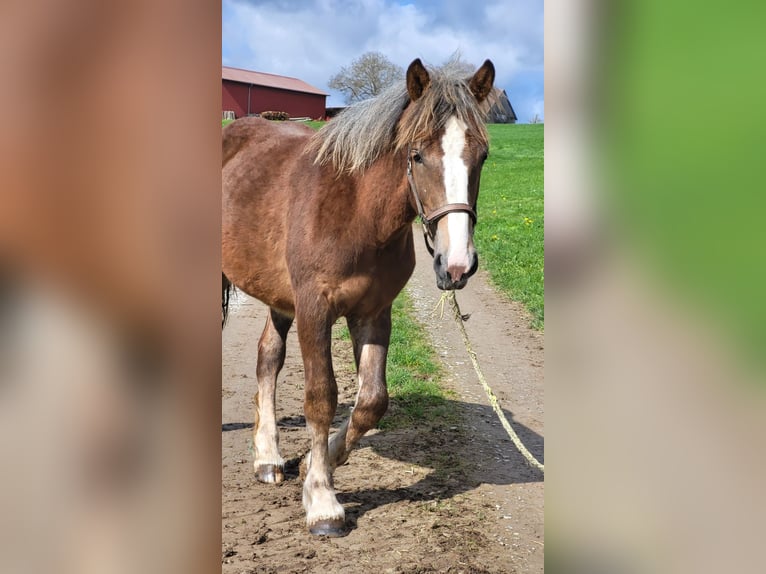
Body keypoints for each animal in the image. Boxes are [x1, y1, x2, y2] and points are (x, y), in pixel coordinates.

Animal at [222, 56, 498, 536]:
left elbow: (371, 401)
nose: (457, 264)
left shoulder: (373, 312)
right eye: (416, 154)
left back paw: (268, 457)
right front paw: (322, 501)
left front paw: (319, 463)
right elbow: (321, 398)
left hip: (279, 297)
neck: (356, 212)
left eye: (481, 155)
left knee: (268, 357)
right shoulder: (314, 310)